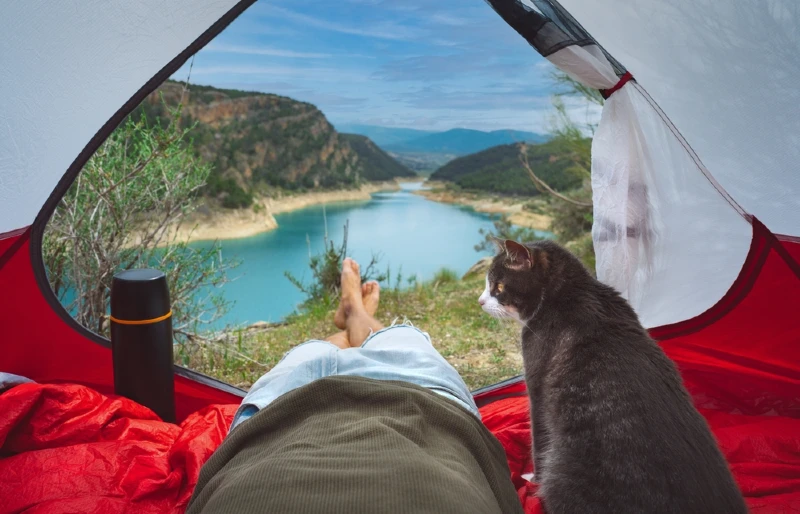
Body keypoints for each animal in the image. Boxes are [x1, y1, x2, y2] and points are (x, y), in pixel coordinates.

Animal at [478, 239, 748, 512]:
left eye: (498, 286)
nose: (479, 301)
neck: (568, 290)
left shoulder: (536, 384)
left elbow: (538, 436)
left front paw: (533, 479)